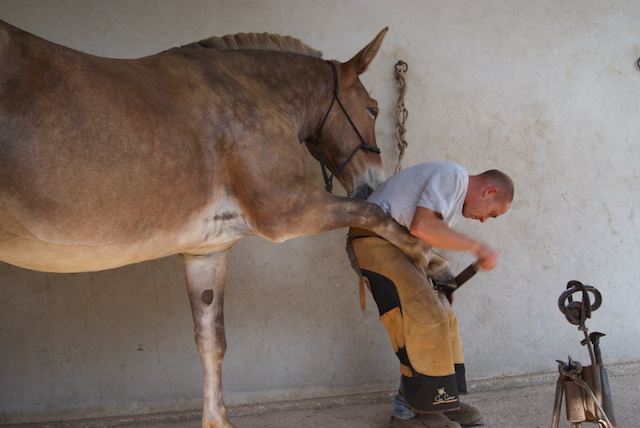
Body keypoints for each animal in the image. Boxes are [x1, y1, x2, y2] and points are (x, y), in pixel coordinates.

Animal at [0, 21, 434, 428]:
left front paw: (217, 418)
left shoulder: (205, 253)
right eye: (373, 108)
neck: (250, 94)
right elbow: (375, 215)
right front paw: (432, 260)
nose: (373, 183)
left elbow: (211, 342)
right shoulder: (284, 211)